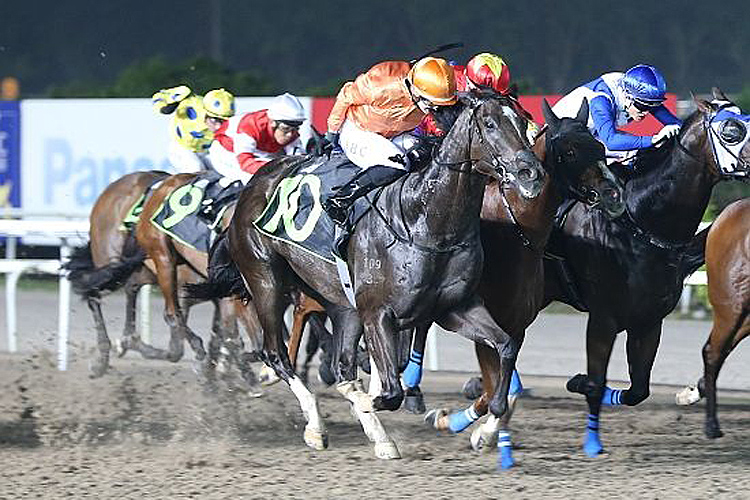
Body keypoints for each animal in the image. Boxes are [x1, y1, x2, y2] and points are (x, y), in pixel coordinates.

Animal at [201, 92, 548, 458]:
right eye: (490, 123)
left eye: (523, 120)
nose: (531, 173)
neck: (426, 222)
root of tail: (255, 182)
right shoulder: (379, 313)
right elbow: (389, 392)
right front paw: (369, 403)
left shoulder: (455, 308)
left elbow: (506, 346)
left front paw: (487, 428)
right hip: (267, 280)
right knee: (277, 355)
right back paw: (316, 426)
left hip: (342, 304)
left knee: (340, 364)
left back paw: (378, 437)